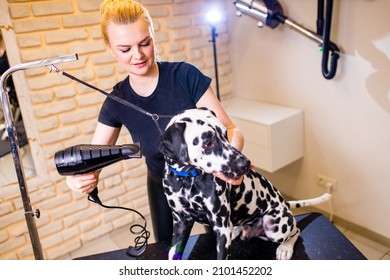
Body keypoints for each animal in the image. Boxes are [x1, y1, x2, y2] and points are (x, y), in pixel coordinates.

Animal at [157, 107, 330, 260]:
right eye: (208, 143)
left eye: (226, 134)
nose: (246, 163)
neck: (186, 181)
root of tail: (285, 203)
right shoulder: (180, 223)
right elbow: (173, 254)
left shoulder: (221, 227)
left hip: (274, 228)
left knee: (296, 231)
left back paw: (285, 248)